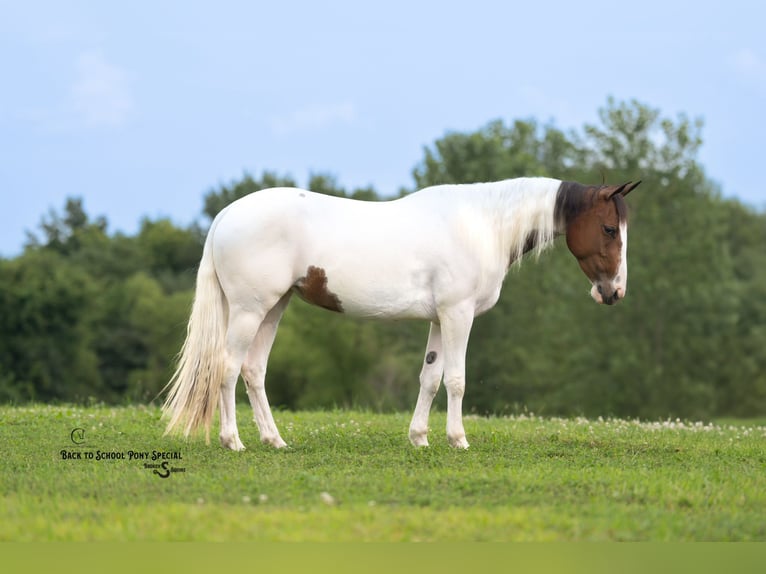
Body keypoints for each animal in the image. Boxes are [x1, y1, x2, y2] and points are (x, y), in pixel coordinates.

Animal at [162, 177, 640, 450]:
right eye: (608, 228)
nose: (615, 292)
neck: (481, 225)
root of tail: (225, 215)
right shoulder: (458, 315)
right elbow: (456, 380)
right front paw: (457, 439)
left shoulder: (438, 319)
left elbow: (429, 378)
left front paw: (419, 438)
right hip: (249, 310)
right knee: (227, 367)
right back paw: (233, 441)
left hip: (273, 308)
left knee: (253, 370)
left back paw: (274, 440)